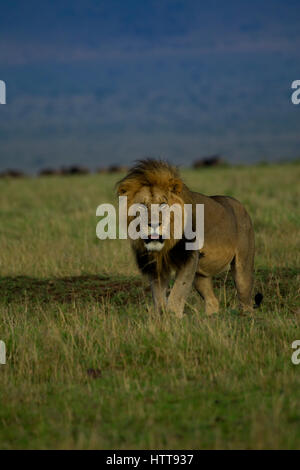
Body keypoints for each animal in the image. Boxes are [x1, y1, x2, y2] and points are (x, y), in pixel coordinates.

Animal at [116, 160, 262, 318]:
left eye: (163, 204)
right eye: (142, 205)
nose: (154, 224)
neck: (167, 243)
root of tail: (240, 205)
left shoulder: (189, 257)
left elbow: (178, 292)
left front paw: (174, 317)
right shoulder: (156, 265)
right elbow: (159, 298)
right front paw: (162, 317)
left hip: (243, 265)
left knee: (245, 298)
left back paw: (246, 316)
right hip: (200, 274)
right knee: (212, 300)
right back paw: (210, 318)